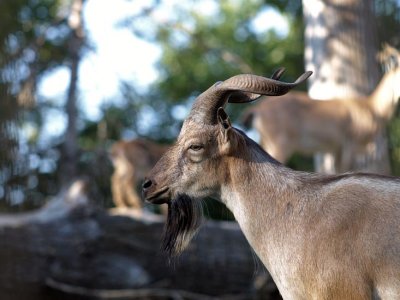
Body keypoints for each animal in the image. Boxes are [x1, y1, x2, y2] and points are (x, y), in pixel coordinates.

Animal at [241, 43, 400, 172]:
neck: (374, 109)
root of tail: (257, 110)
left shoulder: (336, 149)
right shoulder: (351, 144)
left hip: (266, 140)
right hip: (279, 141)